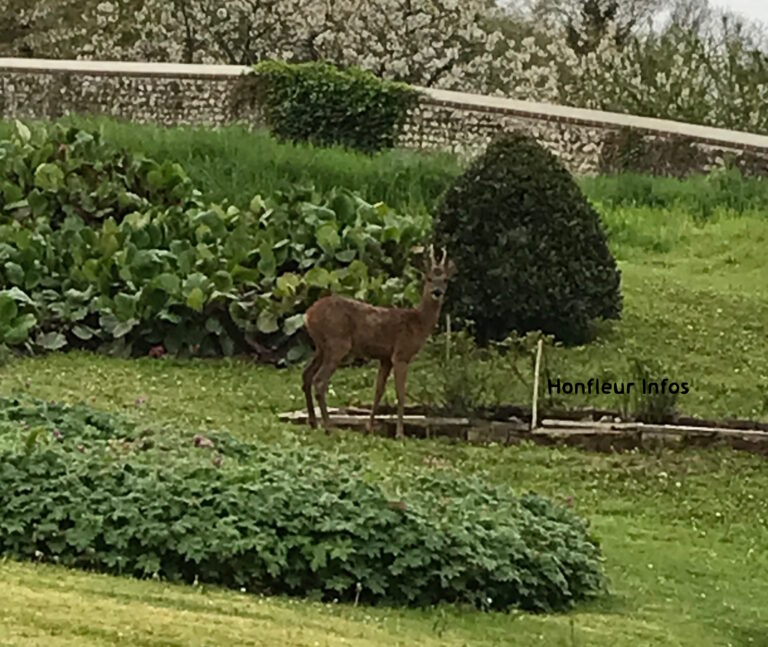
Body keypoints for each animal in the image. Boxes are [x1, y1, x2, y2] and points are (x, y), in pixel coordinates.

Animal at [302, 244, 456, 440]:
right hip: (337, 343)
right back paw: (329, 427)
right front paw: (399, 433)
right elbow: (401, 393)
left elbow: (378, 391)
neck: (417, 323)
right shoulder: (401, 354)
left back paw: (313, 422)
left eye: (445, 280)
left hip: (321, 347)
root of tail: (308, 315)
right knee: (320, 380)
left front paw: (369, 427)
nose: (437, 292)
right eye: (429, 278)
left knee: (306, 374)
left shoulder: (385, 358)